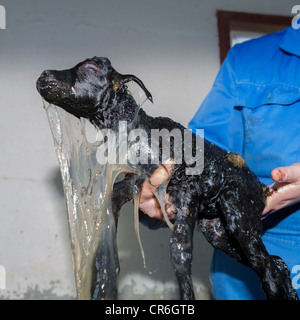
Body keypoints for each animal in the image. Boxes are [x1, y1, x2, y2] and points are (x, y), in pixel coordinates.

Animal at [36, 57, 298, 300]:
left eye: (90, 67)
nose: (43, 75)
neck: (140, 130)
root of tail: (261, 187)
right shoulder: (131, 185)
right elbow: (105, 240)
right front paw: (103, 287)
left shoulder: (189, 191)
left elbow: (179, 249)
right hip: (218, 231)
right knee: (276, 261)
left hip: (240, 214)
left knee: (267, 267)